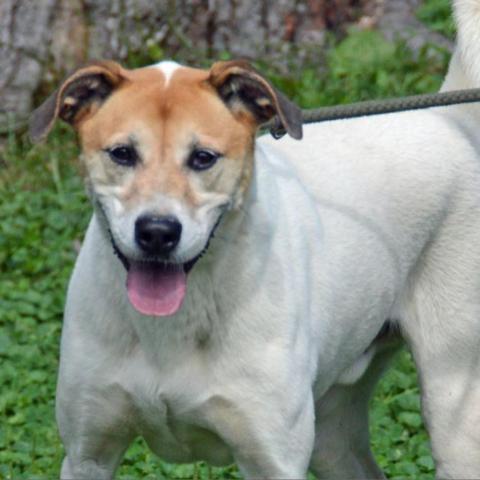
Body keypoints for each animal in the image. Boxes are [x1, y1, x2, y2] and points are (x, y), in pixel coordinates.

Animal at [29, 1, 480, 478]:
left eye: (203, 158)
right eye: (122, 154)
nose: (157, 232)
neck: (177, 323)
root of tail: (447, 117)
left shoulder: (272, 461)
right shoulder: (88, 454)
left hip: (454, 413)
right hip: (333, 431)